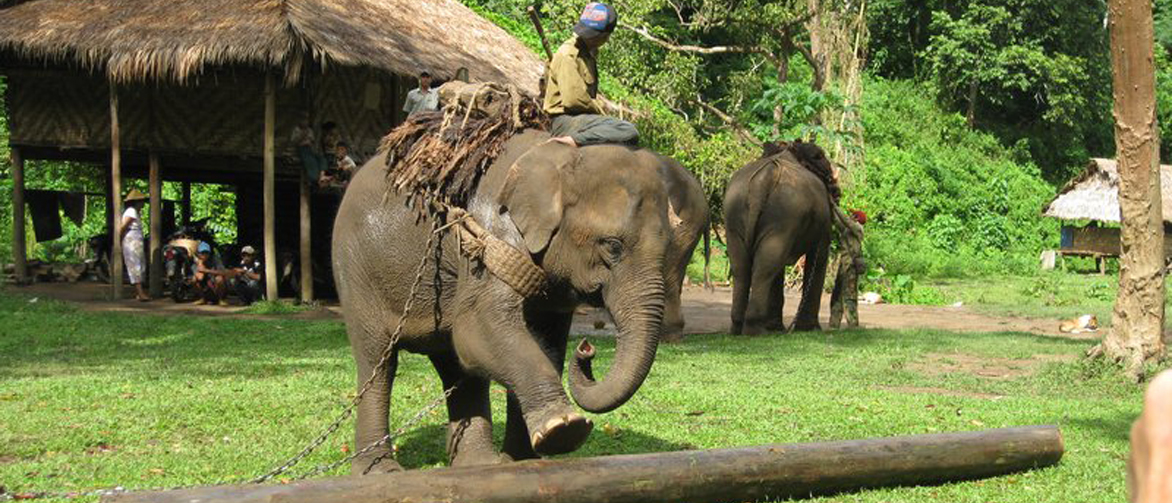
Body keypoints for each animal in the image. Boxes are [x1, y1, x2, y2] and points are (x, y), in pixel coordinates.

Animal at [332, 129, 673, 473]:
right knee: (379, 361)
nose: (587, 348)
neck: (559, 160)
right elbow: (479, 327)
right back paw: (379, 470)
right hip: (355, 270)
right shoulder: (488, 236)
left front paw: (521, 461)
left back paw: (477, 464)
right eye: (612, 246)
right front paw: (564, 430)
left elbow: (544, 343)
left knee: (455, 364)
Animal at [723, 142, 836, 335]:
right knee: (765, 269)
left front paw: (777, 328)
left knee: (743, 267)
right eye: (820, 157)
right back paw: (756, 331)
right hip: (784, 215)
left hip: (736, 214)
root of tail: (763, 179)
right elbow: (820, 255)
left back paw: (739, 327)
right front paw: (810, 329)